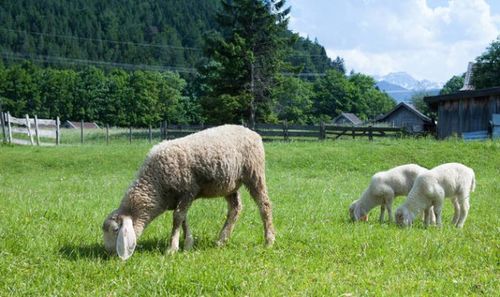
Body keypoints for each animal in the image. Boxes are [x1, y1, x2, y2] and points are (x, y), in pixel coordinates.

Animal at [101, 123, 274, 258]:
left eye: (116, 230)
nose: (108, 253)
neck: (156, 184)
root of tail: (252, 132)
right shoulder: (179, 198)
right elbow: (183, 219)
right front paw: (188, 243)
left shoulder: (188, 190)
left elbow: (177, 218)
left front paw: (172, 248)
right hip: (230, 183)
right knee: (235, 208)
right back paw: (222, 239)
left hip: (254, 172)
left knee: (264, 205)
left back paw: (269, 240)